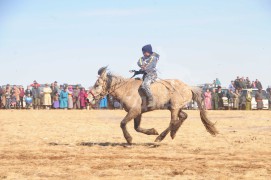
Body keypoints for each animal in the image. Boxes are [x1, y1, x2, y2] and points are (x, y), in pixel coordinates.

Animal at [89, 66, 219, 145]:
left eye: (97, 85)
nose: (88, 98)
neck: (127, 90)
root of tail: (188, 87)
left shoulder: (134, 111)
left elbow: (123, 123)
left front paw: (129, 139)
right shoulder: (138, 113)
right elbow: (137, 127)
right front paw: (152, 131)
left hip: (174, 107)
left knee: (173, 121)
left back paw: (161, 137)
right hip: (175, 107)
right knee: (183, 117)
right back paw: (172, 133)